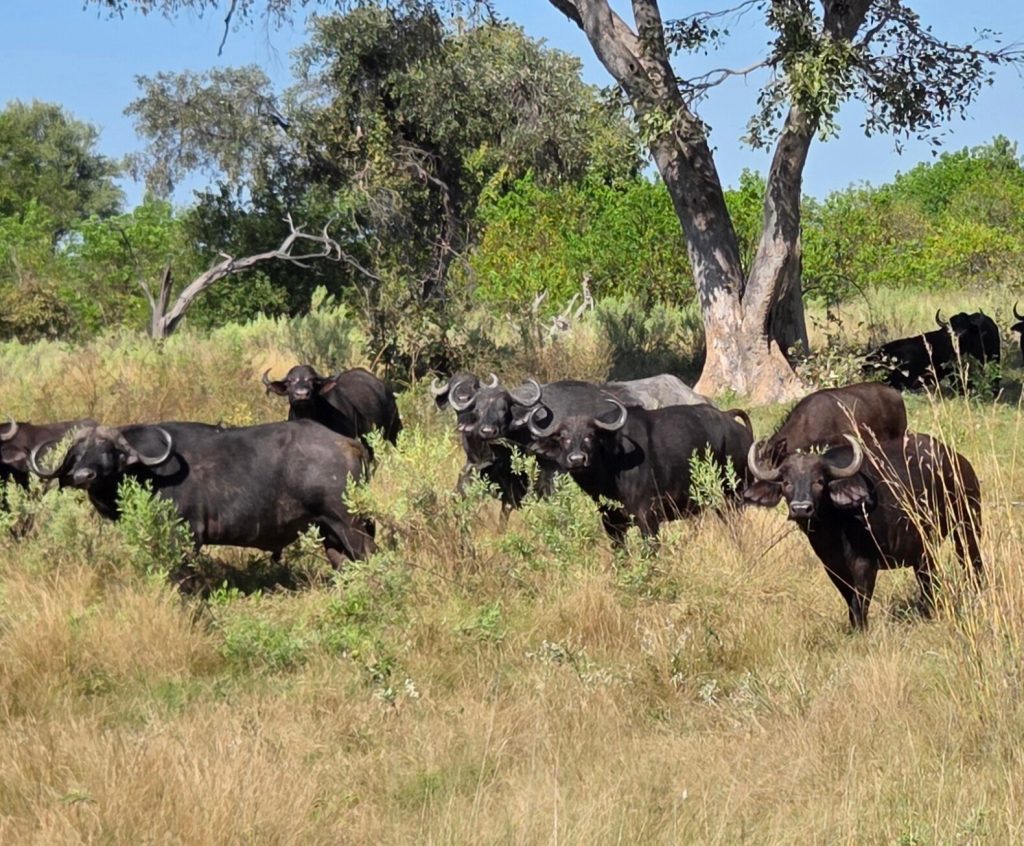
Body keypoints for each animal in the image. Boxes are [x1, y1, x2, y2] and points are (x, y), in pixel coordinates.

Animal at [29, 420, 375, 565]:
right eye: (77, 453)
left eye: (108, 450)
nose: (82, 476)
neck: (147, 473)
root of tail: (348, 443)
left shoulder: (184, 536)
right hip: (327, 529)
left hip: (350, 524)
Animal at [526, 390, 753, 542]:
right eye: (563, 438)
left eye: (590, 436)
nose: (577, 459)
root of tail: (737, 429)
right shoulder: (612, 524)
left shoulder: (648, 518)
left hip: (733, 497)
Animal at [745, 433, 983, 629]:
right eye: (786, 482)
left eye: (819, 481)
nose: (801, 508)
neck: (833, 529)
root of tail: (959, 462)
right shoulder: (832, 567)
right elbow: (849, 601)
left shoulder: (866, 564)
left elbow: (860, 602)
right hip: (924, 549)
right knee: (927, 579)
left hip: (968, 526)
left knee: (972, 562)